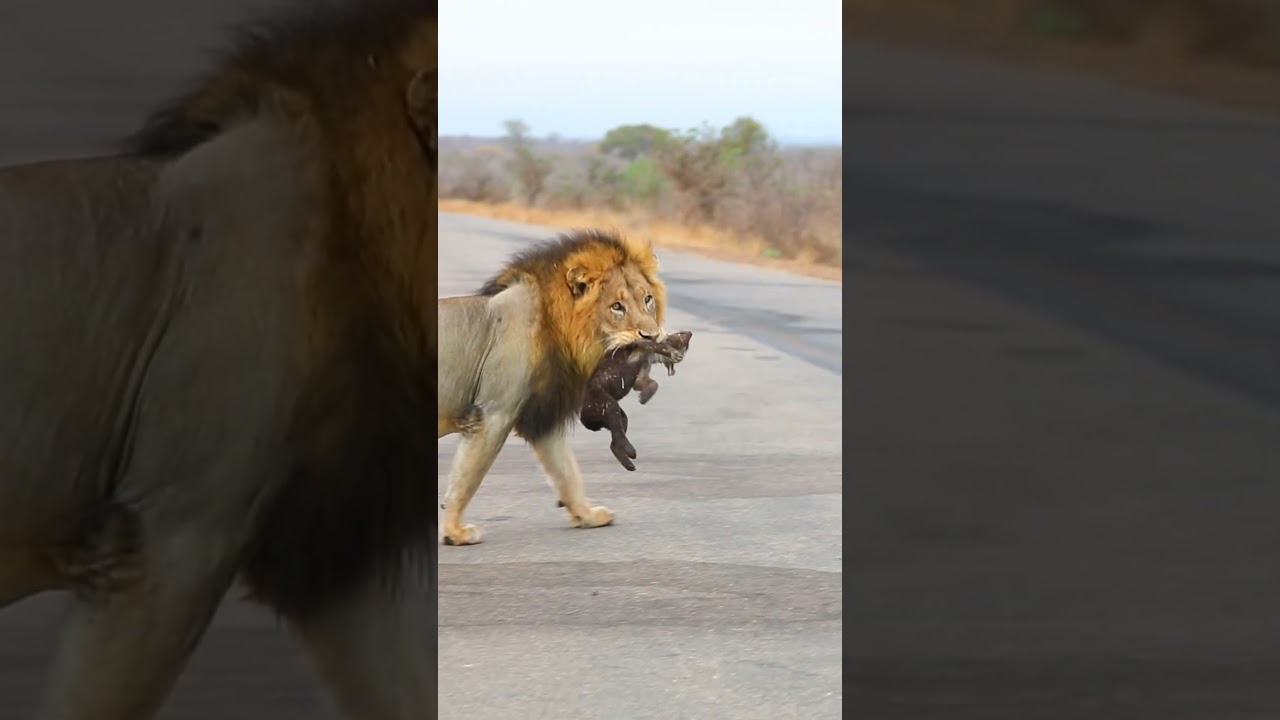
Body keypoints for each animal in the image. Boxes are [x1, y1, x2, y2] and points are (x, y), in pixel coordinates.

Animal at [437, 229, 667, 546]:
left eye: (647, 300)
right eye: (617, 307)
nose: (652, 336)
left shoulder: (543, 415)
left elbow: (567, 473)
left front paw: (587, 516)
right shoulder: (493, 413)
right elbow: (467, 476)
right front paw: (454, 532)